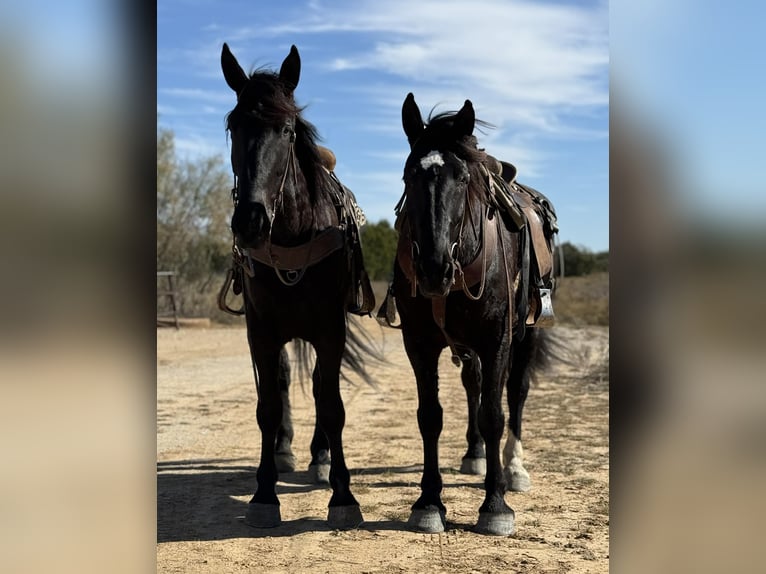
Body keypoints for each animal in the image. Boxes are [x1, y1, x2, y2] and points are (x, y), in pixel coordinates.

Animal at [219, 43, 377, 530]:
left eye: (287, 130)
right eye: (234, 126)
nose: (250, 221)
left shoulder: (330, 329)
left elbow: (332, 404)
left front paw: (342, 494)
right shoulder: (260, 330)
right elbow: (268, 405)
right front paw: (264, 493)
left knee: (322, 384)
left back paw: (319, 457)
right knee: (287, 381)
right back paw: (286, 451)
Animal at [388, 93, 554, 535]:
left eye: (462, 179)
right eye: (408, 176)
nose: (433, 268)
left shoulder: (496, 339)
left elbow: (494, 415)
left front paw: (495, 505)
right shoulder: (420, 344)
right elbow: (430, 416)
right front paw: (429, 502)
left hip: (526, 336)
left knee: (516, 393)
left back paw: (514, 469)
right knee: (473, 385)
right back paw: (476, 455)